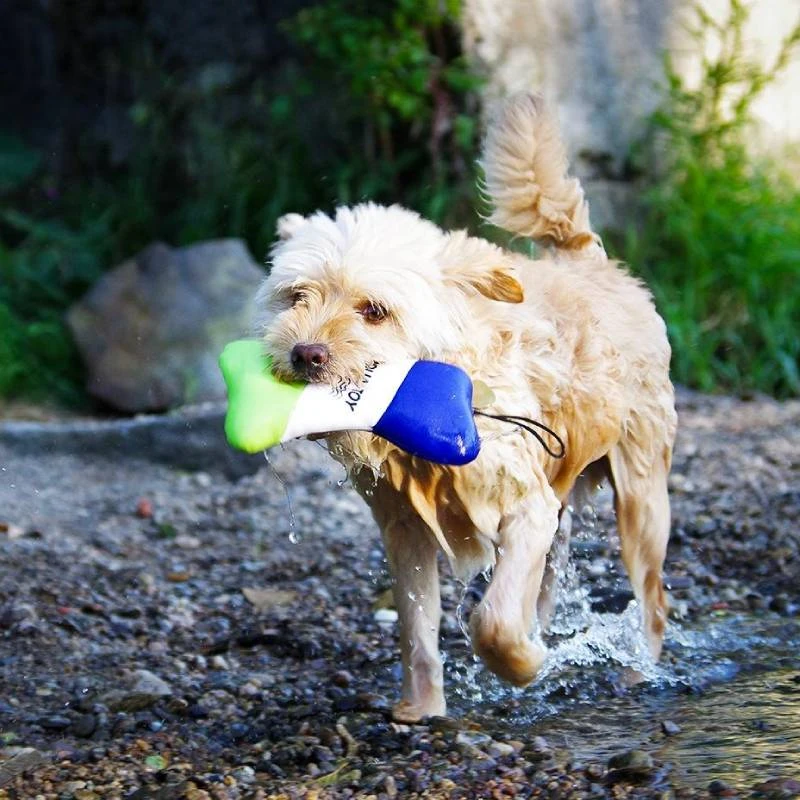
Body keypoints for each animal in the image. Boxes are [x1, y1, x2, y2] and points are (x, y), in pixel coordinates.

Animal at [255, 95, 676, 724]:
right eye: (296, 296)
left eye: (374, 310)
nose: (306, 353)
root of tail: (589, 259)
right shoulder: (403, 528)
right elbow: (417, 630)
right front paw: (423, 708)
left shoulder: (524, 509)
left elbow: (494, 622)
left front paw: (523, 666)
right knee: (553, 577)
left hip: (642, 497)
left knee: (651, 598)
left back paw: (635, 670)